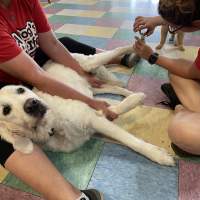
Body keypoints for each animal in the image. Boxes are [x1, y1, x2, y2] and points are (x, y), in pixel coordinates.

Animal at [0, 45, 174, 166]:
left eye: (20, 89)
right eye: (6, 110)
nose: (32, 104)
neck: (52, 126)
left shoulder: (93, 119)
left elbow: (129, 140)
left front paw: (158, 156)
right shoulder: (94, 114)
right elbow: (111, 108)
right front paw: (133, 101)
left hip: (89, 64)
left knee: (115, 50)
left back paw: (137, 46)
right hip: (89, 87)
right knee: (112, 88)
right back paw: (132, 94)